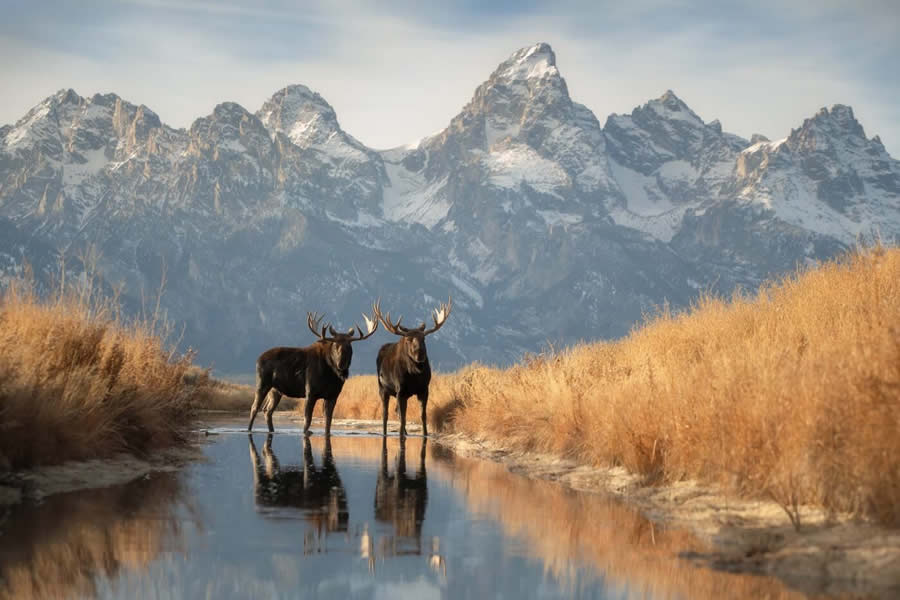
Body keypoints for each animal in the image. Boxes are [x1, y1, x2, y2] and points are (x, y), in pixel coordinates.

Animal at [248, 308, 378, 434]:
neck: (331, 376)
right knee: (254, 408)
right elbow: (307, 420)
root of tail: (257, 359)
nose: (341, 365)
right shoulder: (310, 392)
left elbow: (328, 422)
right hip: (262, 384)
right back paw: (249, 429)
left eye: (349, 347)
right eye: (335, 345)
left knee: (267, 410)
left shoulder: (333, 395)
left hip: (276, 390)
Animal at [374, 298, 450, 436]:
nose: (420, 353)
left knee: (397, 411)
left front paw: (425, 433)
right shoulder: (400, 390)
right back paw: (386, 432)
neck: (415, 375)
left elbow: (422, 415)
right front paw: (401, 435)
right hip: (382, 388)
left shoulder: (424, 389)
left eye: (424, 338)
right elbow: (403, 417)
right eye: (408, 339)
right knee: (385, 414)